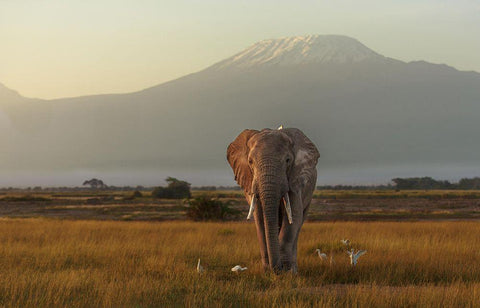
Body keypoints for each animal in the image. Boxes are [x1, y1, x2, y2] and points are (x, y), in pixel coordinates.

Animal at [228, 127, 320, 272]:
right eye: (250, 162)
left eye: (288, 160)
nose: (276, 269)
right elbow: (260, 218)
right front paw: (267, 271)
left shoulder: (295, 178)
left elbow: (294, 216)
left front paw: (287, 272)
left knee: (299, 223)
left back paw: (293, 269)